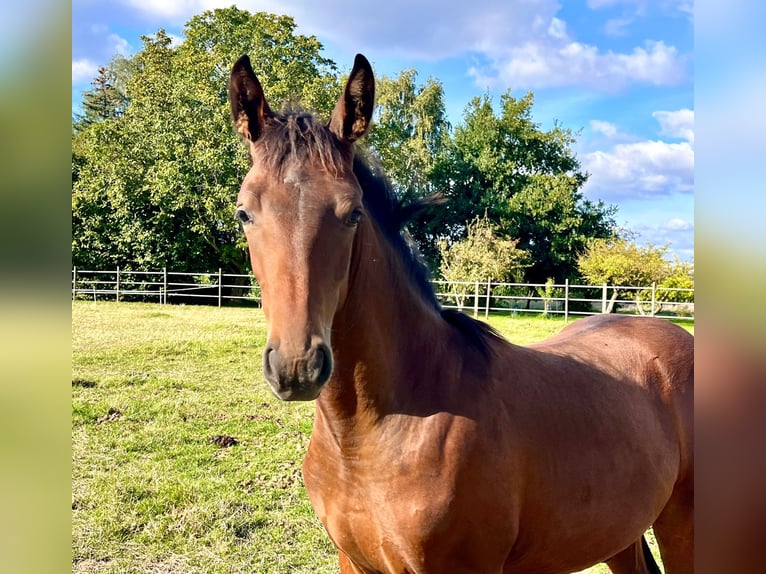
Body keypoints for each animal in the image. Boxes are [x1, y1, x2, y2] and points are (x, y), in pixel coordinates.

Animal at [228, 54, 696, 574]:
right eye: (244, 212)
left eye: (352, 213)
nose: (296, 367)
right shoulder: (352, 561)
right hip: (618, 533)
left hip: (682, 527)